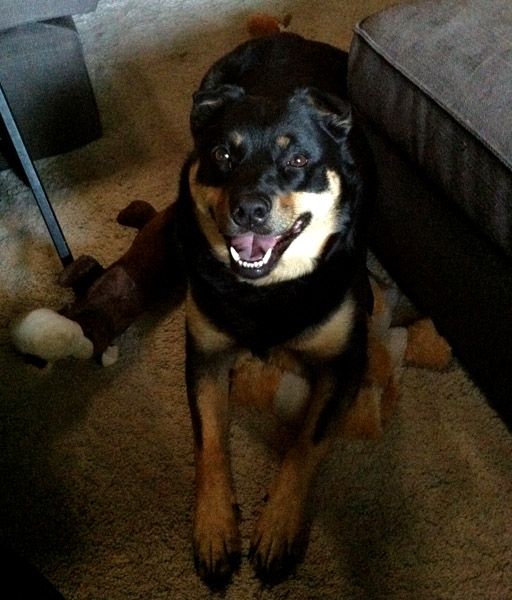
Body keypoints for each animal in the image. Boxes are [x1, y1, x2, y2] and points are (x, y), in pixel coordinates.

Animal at [174, 31, 374, 584]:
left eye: (299, 161)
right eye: (222, 153)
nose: (248, 208)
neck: (265, 289)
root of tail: (289, 34)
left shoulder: (346, 362)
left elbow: (307, 441)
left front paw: (279, 528)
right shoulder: (204, 353)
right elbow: (209, 441)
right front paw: (215, 528)